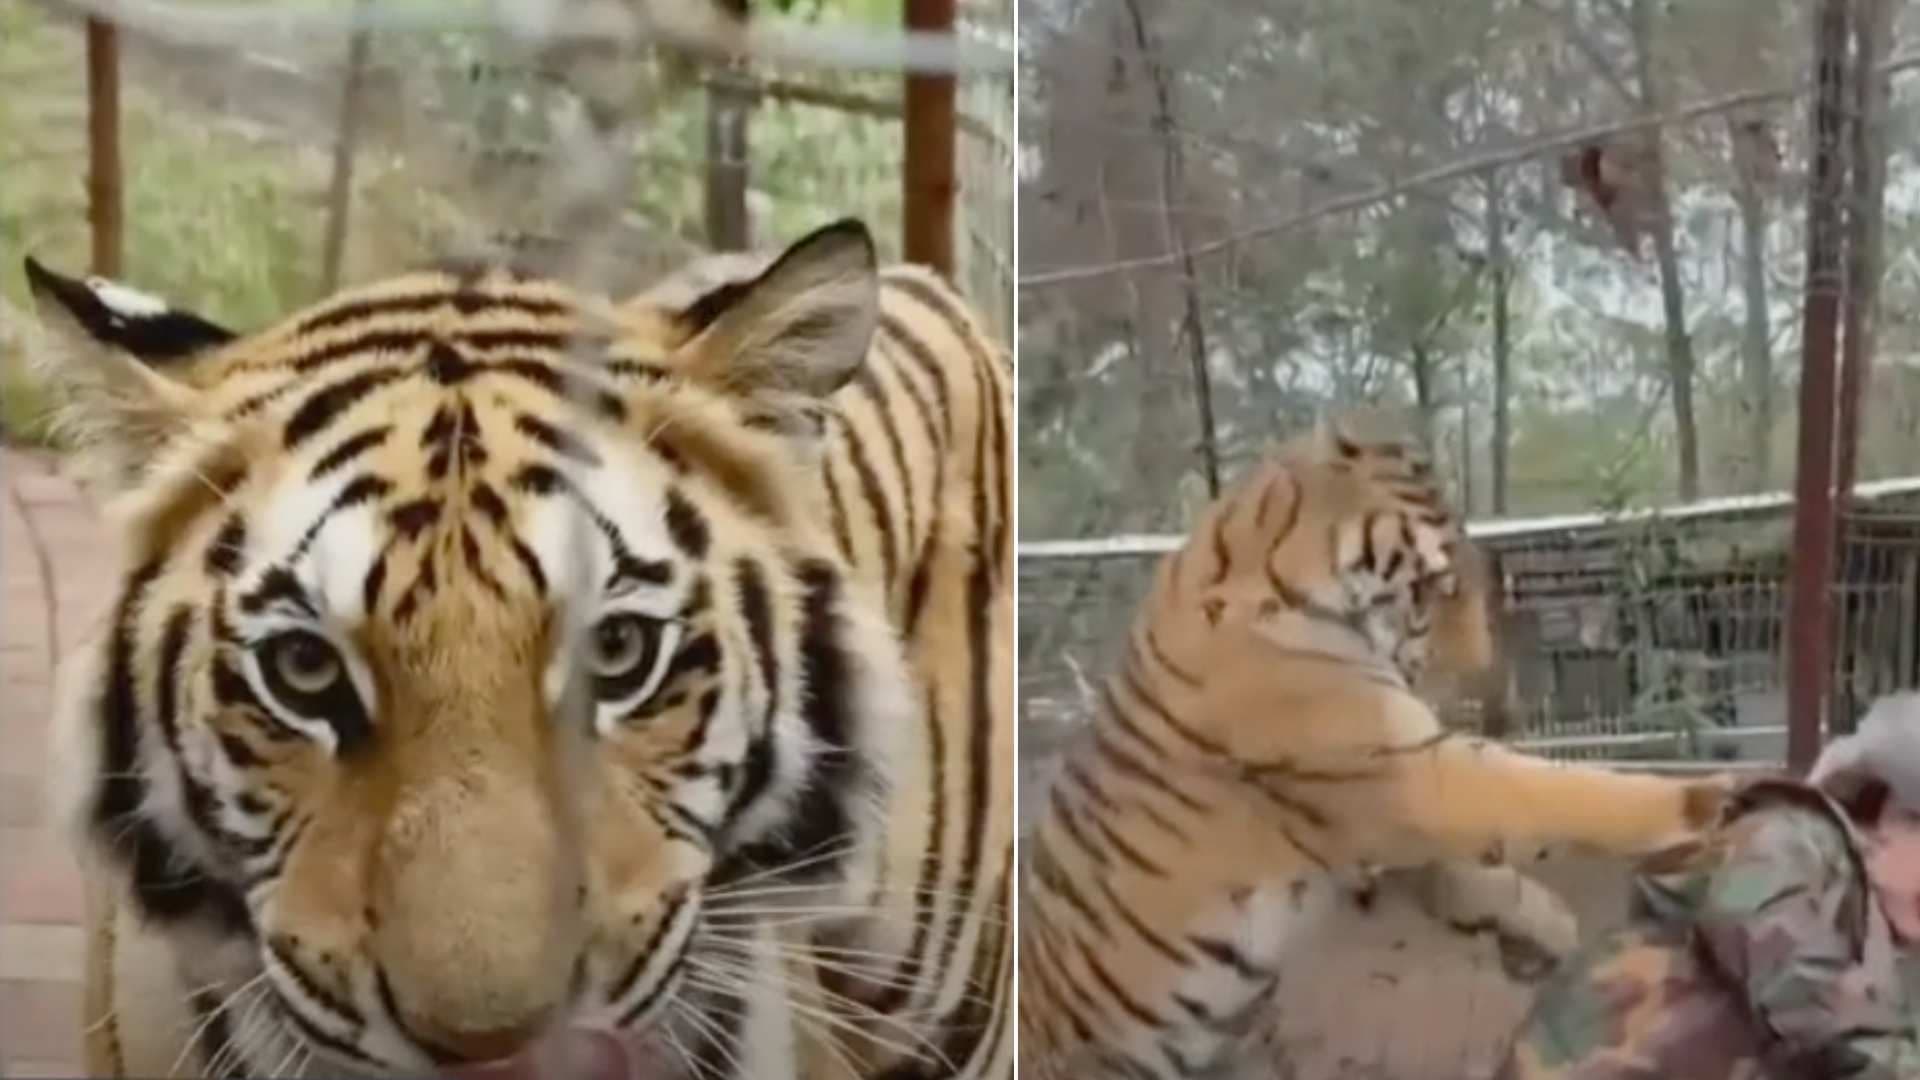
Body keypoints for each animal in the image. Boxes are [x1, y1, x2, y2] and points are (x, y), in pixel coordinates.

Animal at [1013, 420, 1731, 1080]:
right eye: (1431, 590)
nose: (1495, 698)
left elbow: (1467, 866)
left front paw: (1541, 925)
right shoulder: (1403, 773)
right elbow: (1547, 790)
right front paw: (1703, 801)